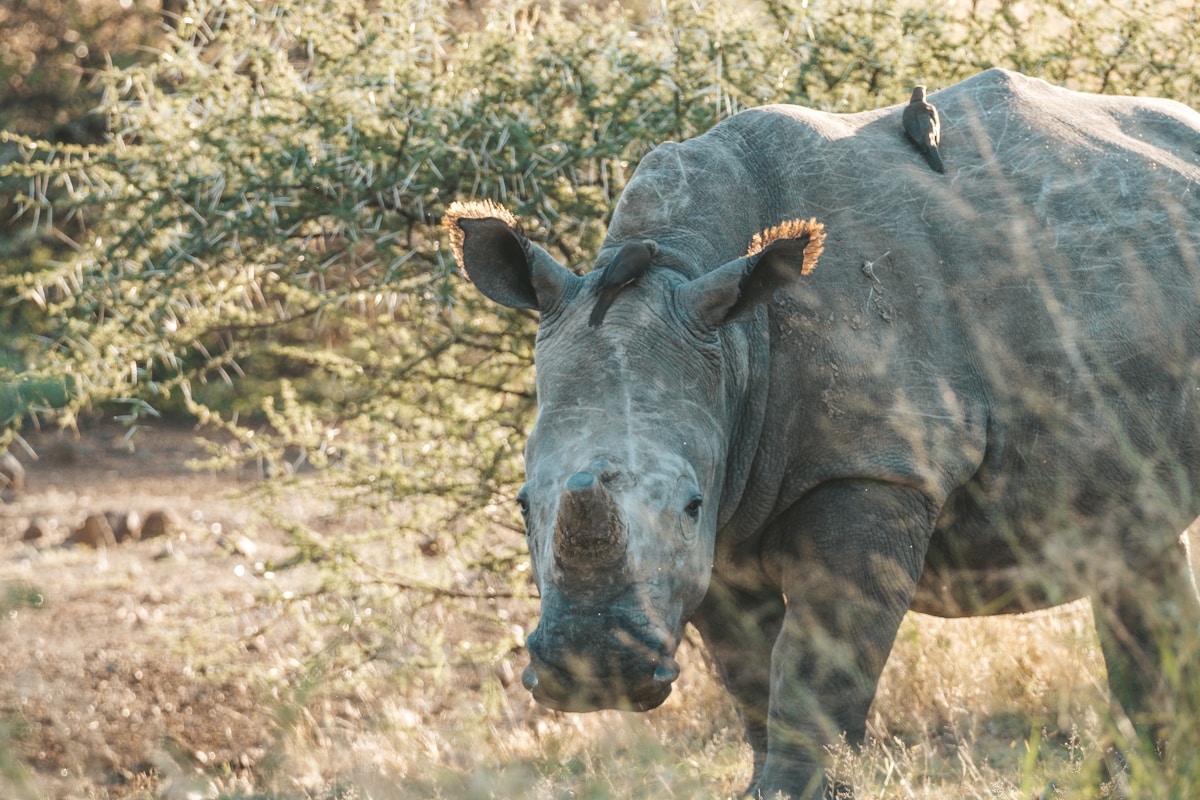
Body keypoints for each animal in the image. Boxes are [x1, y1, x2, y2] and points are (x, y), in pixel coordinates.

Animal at [443, 69, 1200, 798]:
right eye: (522, 505)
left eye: (689, 504)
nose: (594, 671)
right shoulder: (727, 499)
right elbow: (750, 670)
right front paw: (765, 790)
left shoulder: (874, 462)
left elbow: (819, 658)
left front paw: (795, 791)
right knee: (1132, 531)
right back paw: (1151, 772)